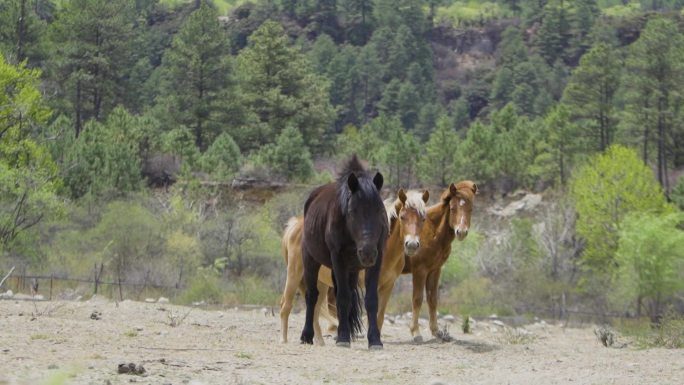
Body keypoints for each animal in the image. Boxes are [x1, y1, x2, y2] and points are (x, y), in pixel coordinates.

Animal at [278, 188, 428, 344]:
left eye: (423, 219)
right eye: (402, 217)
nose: (412, 245)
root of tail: (294, 225)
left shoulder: (388, 285)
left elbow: (380, 316)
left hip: (321, 283)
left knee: (315, 309)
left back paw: (319, 342)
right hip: (295, 273)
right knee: (285, 305)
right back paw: (284, 340)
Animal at [300, 154, 388, 348]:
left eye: (379, 209)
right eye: (353, 211)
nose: (367, 253)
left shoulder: (377, 260)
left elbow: (371, 299)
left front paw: (374, 339)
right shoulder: (338, 259)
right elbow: (343, 297)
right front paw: (342, 338)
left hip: (351, 269)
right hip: (311, 260)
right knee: (312, 296)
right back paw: (307, 335)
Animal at [404, 178, 478, 340]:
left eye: (470, 208)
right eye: (453, 208)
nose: (461, 232)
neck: (431, 230)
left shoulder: (435, 270)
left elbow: (433, 299)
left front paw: (436, 331)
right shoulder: (420, 270)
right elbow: (417, 299)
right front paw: (415, 331)